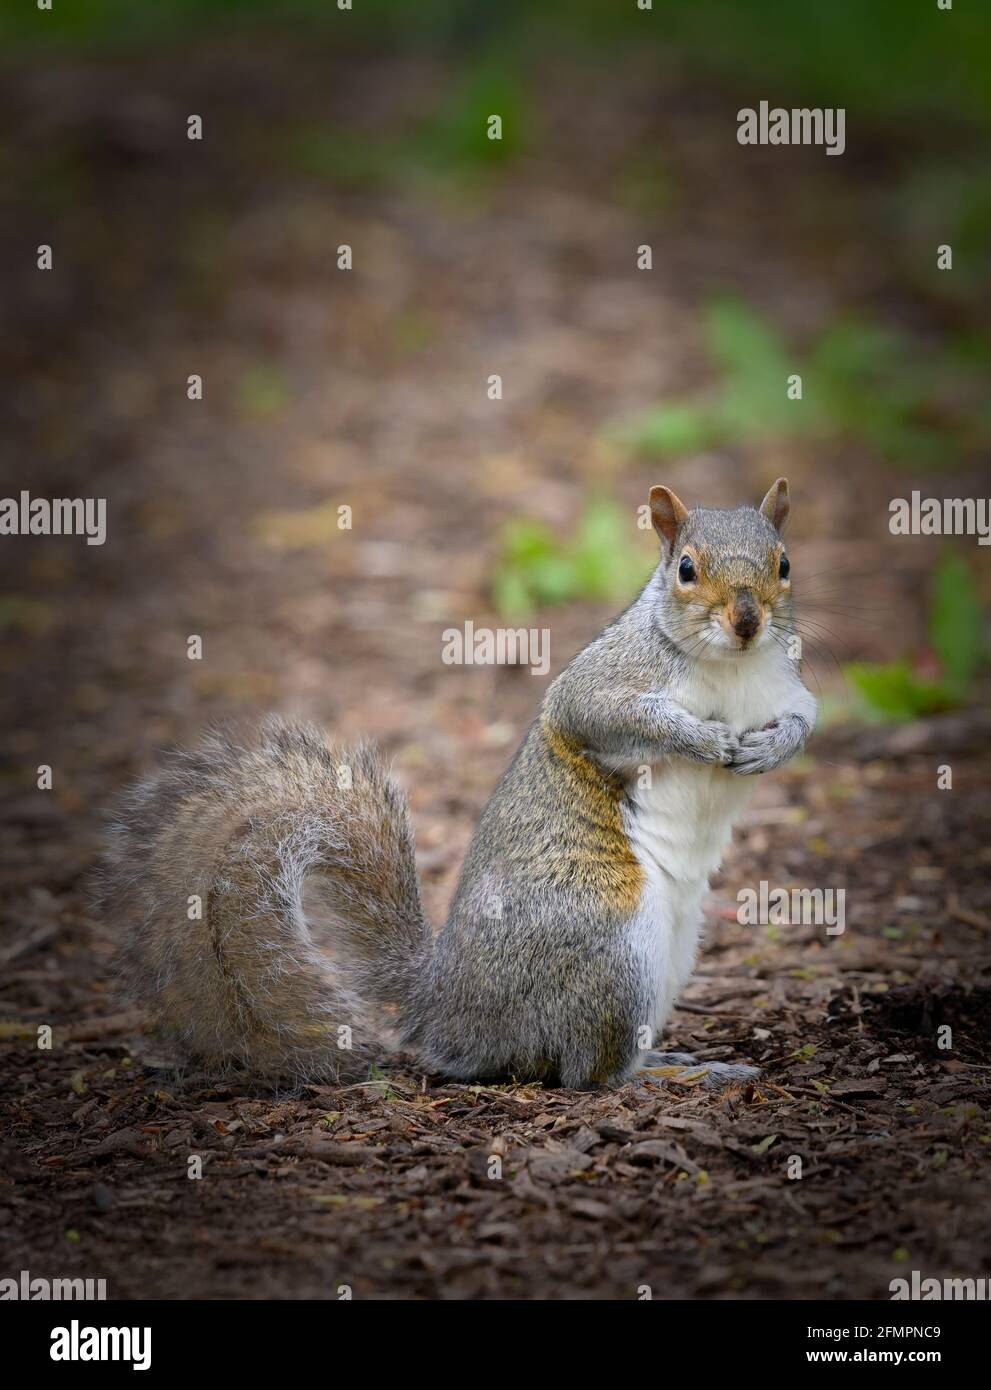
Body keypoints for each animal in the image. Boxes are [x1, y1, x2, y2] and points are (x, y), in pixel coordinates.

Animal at [103, 478, 816, 1092]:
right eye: (686, 570)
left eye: (784, 564)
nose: (747, 620)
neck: (732, 668)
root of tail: (448, 1003)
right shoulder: (603, 684)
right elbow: (606, 713)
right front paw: (703, 740)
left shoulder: (785, 684)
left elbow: (807, 715)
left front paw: (774, 744)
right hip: (613, 937)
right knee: (587, 1073)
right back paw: (674, 1074)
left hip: (676, 944)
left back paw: (672, 1058)